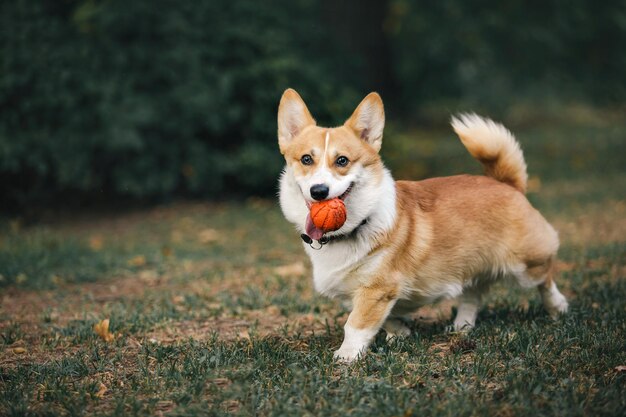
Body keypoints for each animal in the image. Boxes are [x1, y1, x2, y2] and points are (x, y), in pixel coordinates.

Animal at [276, 88, 568, 360]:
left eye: (342, 161)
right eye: (306, 159)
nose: (319, 191)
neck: (355, 226)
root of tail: (507, 184)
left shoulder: (377, 289)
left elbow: (356, 324)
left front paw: (346, 356)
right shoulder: (365, 293)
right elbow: (383, 317)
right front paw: (401, 333)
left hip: (525, 266)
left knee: (545, 278)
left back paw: (558, 307)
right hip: (471, 264)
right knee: (473, 294)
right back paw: (461, 326)